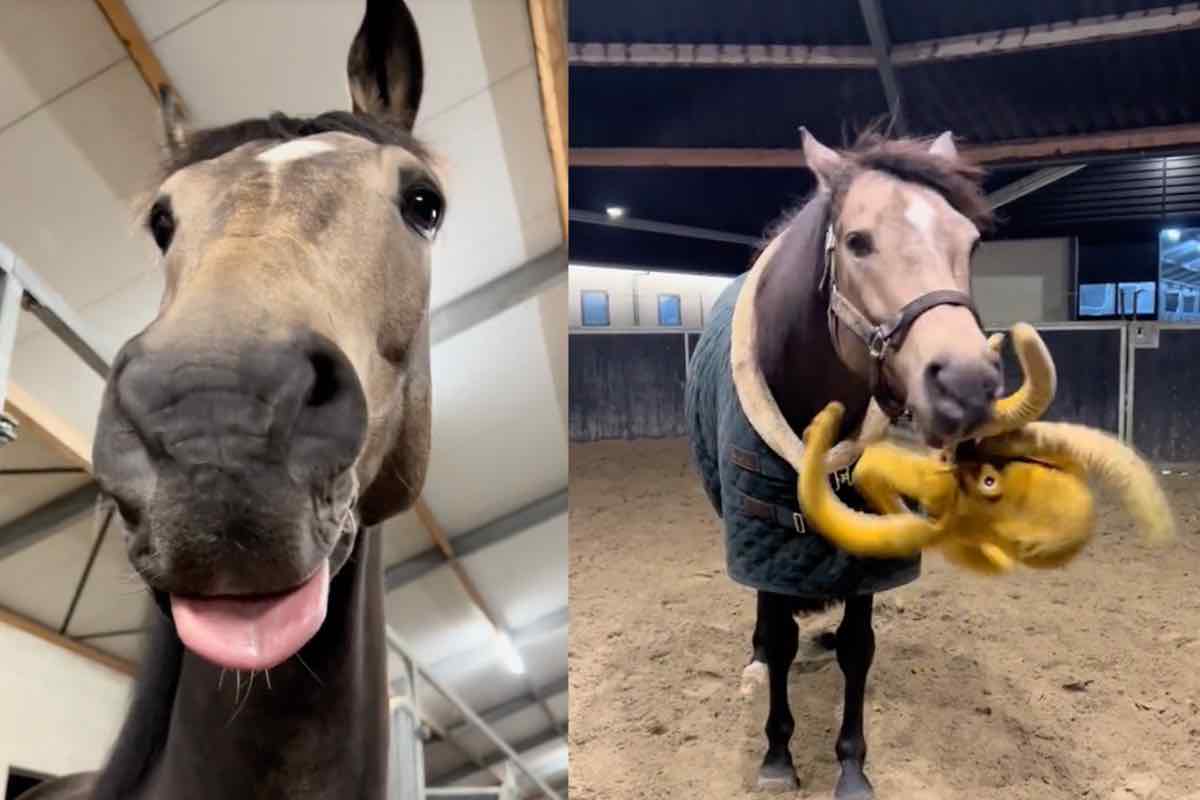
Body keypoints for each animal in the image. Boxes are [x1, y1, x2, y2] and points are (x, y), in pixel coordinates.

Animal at [685, 128, 999, 799]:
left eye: (971, 242)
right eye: (858, 241)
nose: (967, 384)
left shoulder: (867, 557)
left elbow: (858, 647)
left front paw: (852, 766)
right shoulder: (767, 541)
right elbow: (780, 638)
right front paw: (777, 756)